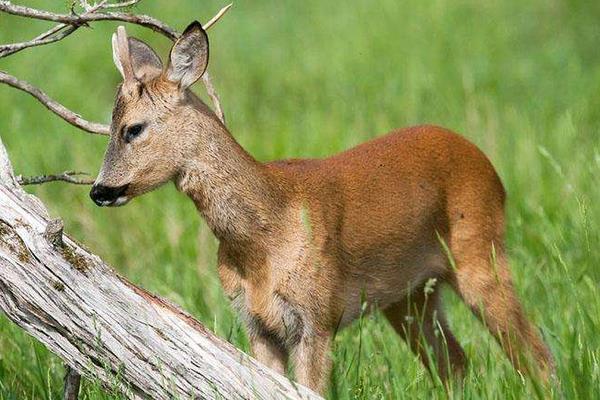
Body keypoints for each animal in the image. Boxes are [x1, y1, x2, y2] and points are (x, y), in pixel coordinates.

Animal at [91, 22, 556, 394]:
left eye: (133, 129)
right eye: (111, 126)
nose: (98, 190)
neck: (265, 236)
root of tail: (488, 165)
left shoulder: (317, 317)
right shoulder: (257, 324)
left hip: (481, 254)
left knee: (538, 357)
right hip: (407, 296)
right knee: (456, 362)